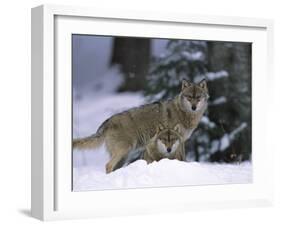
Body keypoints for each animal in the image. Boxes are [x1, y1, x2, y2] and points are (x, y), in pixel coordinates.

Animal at [72, 79, 208, 173]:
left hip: (124, 156)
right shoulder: (178, 140)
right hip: (123, 151)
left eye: (198, 97)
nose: (194, 107)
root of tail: (107, 122)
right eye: (189, 97)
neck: (183, 113)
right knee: (108, 165)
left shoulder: (181, 140)